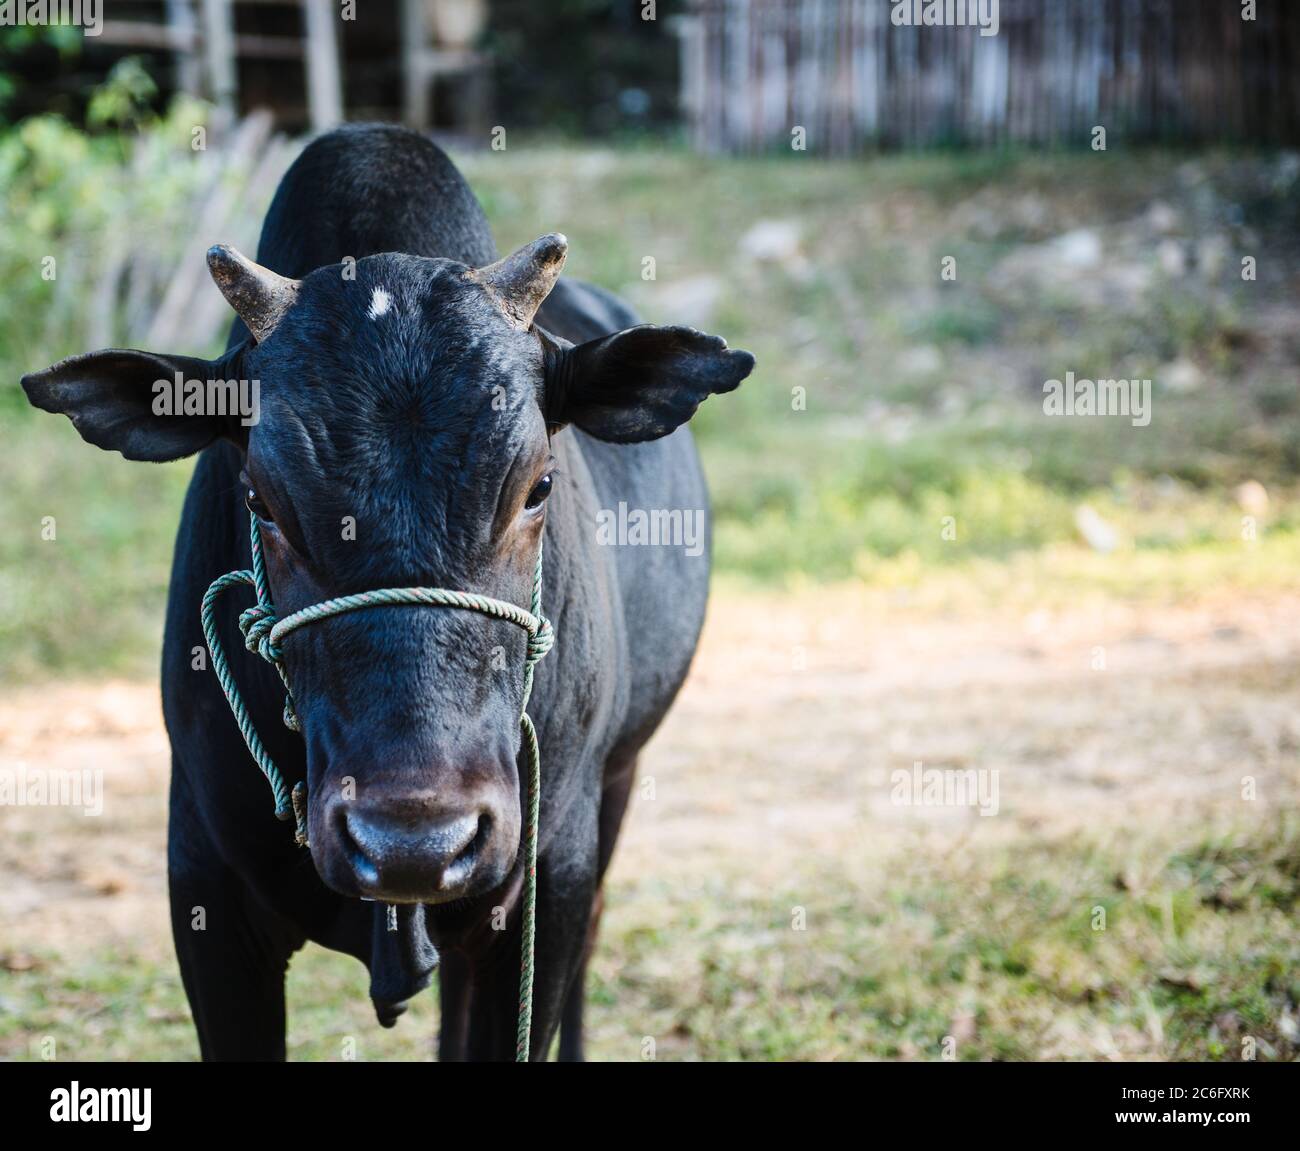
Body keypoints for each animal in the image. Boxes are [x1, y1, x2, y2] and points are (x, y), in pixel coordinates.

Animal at [17, 125, 754, 1061]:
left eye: (539, 485)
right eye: (261, 498)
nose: (413, 840)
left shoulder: (550, 877)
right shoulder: (205, 886)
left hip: (618, 781)